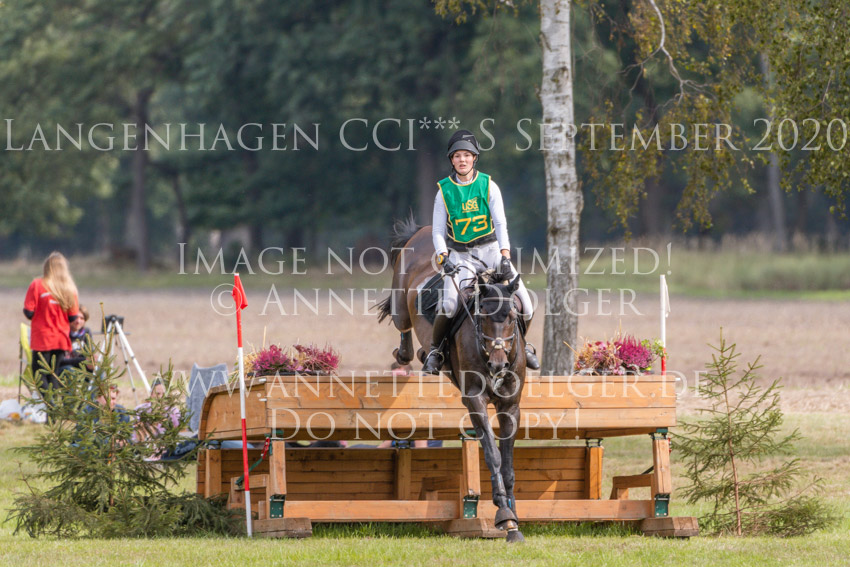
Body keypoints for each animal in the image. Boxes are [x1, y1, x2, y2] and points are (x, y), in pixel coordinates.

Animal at [376, 216, 527, 543]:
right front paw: (503, 515)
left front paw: (514, 519)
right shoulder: (475, 400)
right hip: (400, 304)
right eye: (482, 316)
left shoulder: (510, 405)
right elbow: (493, 456)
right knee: (402, 327)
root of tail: (420, 231)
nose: (498, 364)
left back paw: (429, 355)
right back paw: (409, 354)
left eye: (512, 316)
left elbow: (508, 462)